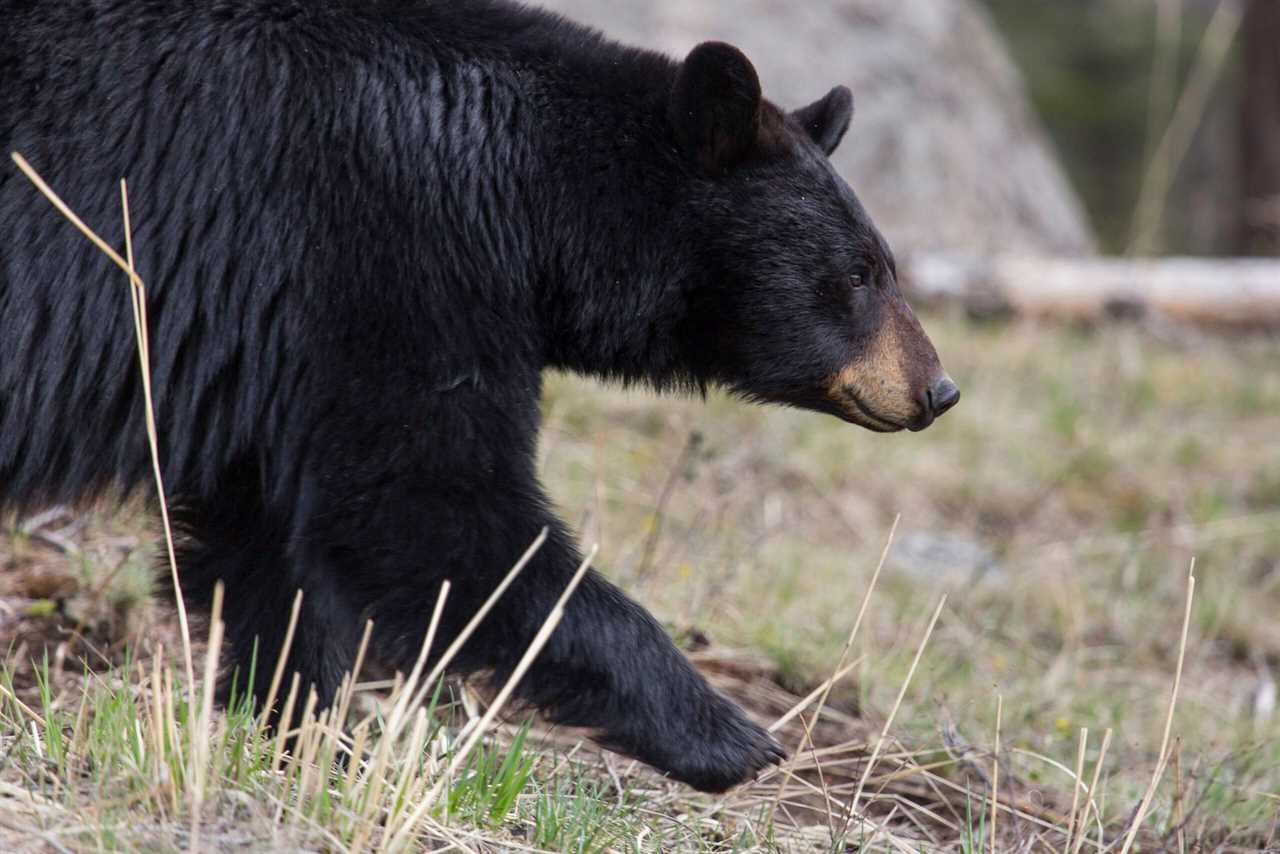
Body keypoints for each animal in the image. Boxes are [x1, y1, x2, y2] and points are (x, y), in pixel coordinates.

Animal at [0, 0, 962, 793]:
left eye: (884, 264)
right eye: (859, 273)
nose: (938, 388)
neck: (529, 188)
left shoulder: (280, 347)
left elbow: (275, 545)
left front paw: (303, 735)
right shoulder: (385, 253)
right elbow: (429, 508)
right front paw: (729, 735)